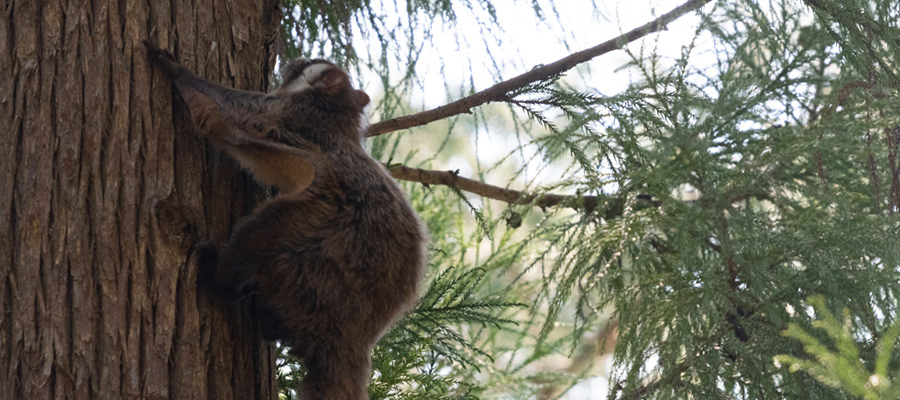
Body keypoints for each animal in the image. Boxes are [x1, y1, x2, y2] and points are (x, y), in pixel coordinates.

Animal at [143, 41, 428, 400]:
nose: (296, 57)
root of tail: (353, 335)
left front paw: (176, 70)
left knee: (259, 234)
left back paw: (220, 279)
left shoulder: (282, 114)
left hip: (312, 240)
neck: (335, 112)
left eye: (309, 63)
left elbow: (221, 110)